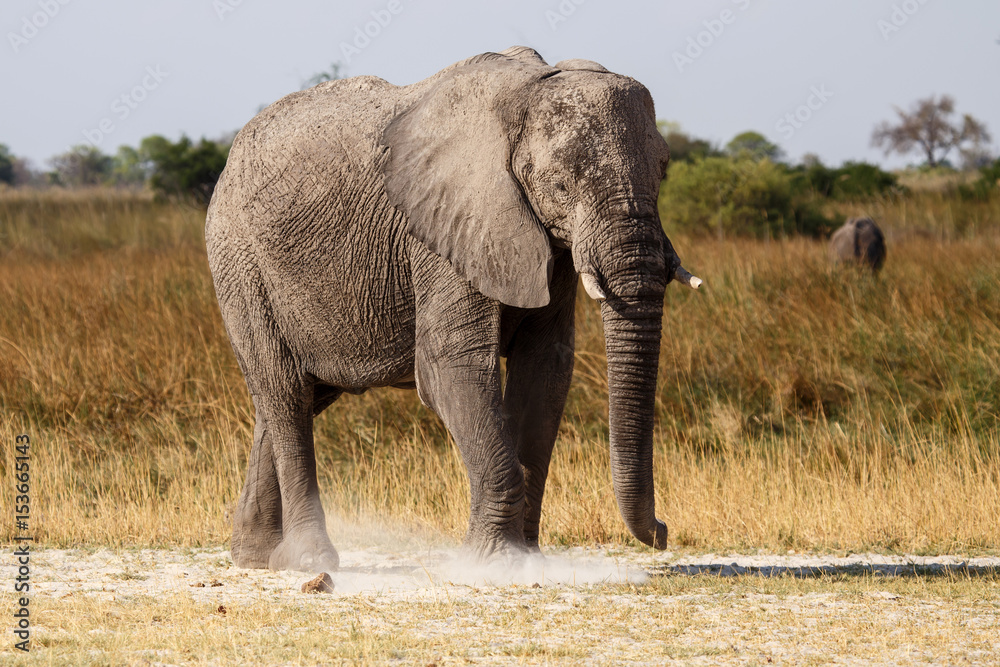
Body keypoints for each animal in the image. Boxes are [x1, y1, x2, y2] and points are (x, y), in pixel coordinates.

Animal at [205, 46, 700, 573]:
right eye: (562, 186)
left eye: (663, 171)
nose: (664, 531)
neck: (525, 93)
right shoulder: (443, 231)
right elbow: (452, 367)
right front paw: (495, 563)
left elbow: (545, 370)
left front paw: (527, 560)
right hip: (239, 261)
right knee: (285, 392)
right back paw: (310, 560)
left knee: (299, 394)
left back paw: (256, 556)